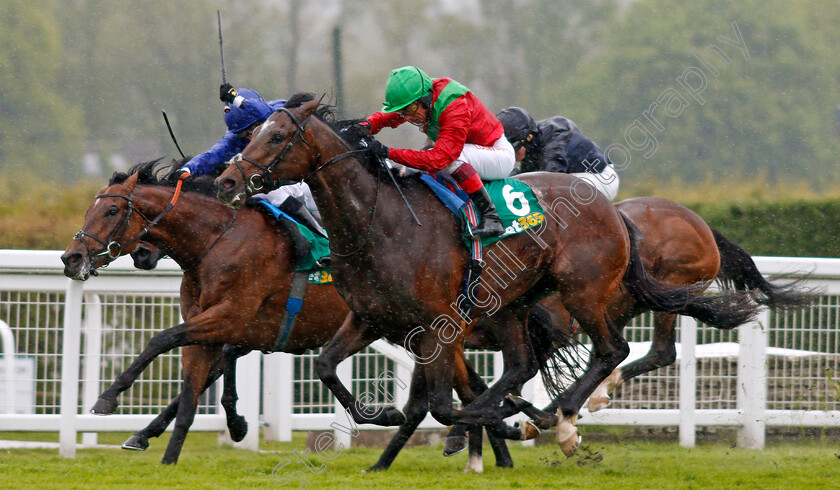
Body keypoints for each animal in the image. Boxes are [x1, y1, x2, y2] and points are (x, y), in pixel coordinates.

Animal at [213, 93, 756, 456]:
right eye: (252, 134)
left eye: (276, 136)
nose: (227, 179)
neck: (379, 221)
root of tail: (615, 211)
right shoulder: (371, 316)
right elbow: (328, 365)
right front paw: (386, 414)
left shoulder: (440, 325)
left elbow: (440, 403)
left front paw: (494, 422)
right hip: (515, 303)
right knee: (523, 365)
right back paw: (528, 412)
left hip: (582, 290)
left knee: (612, 350)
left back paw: (558, 415)